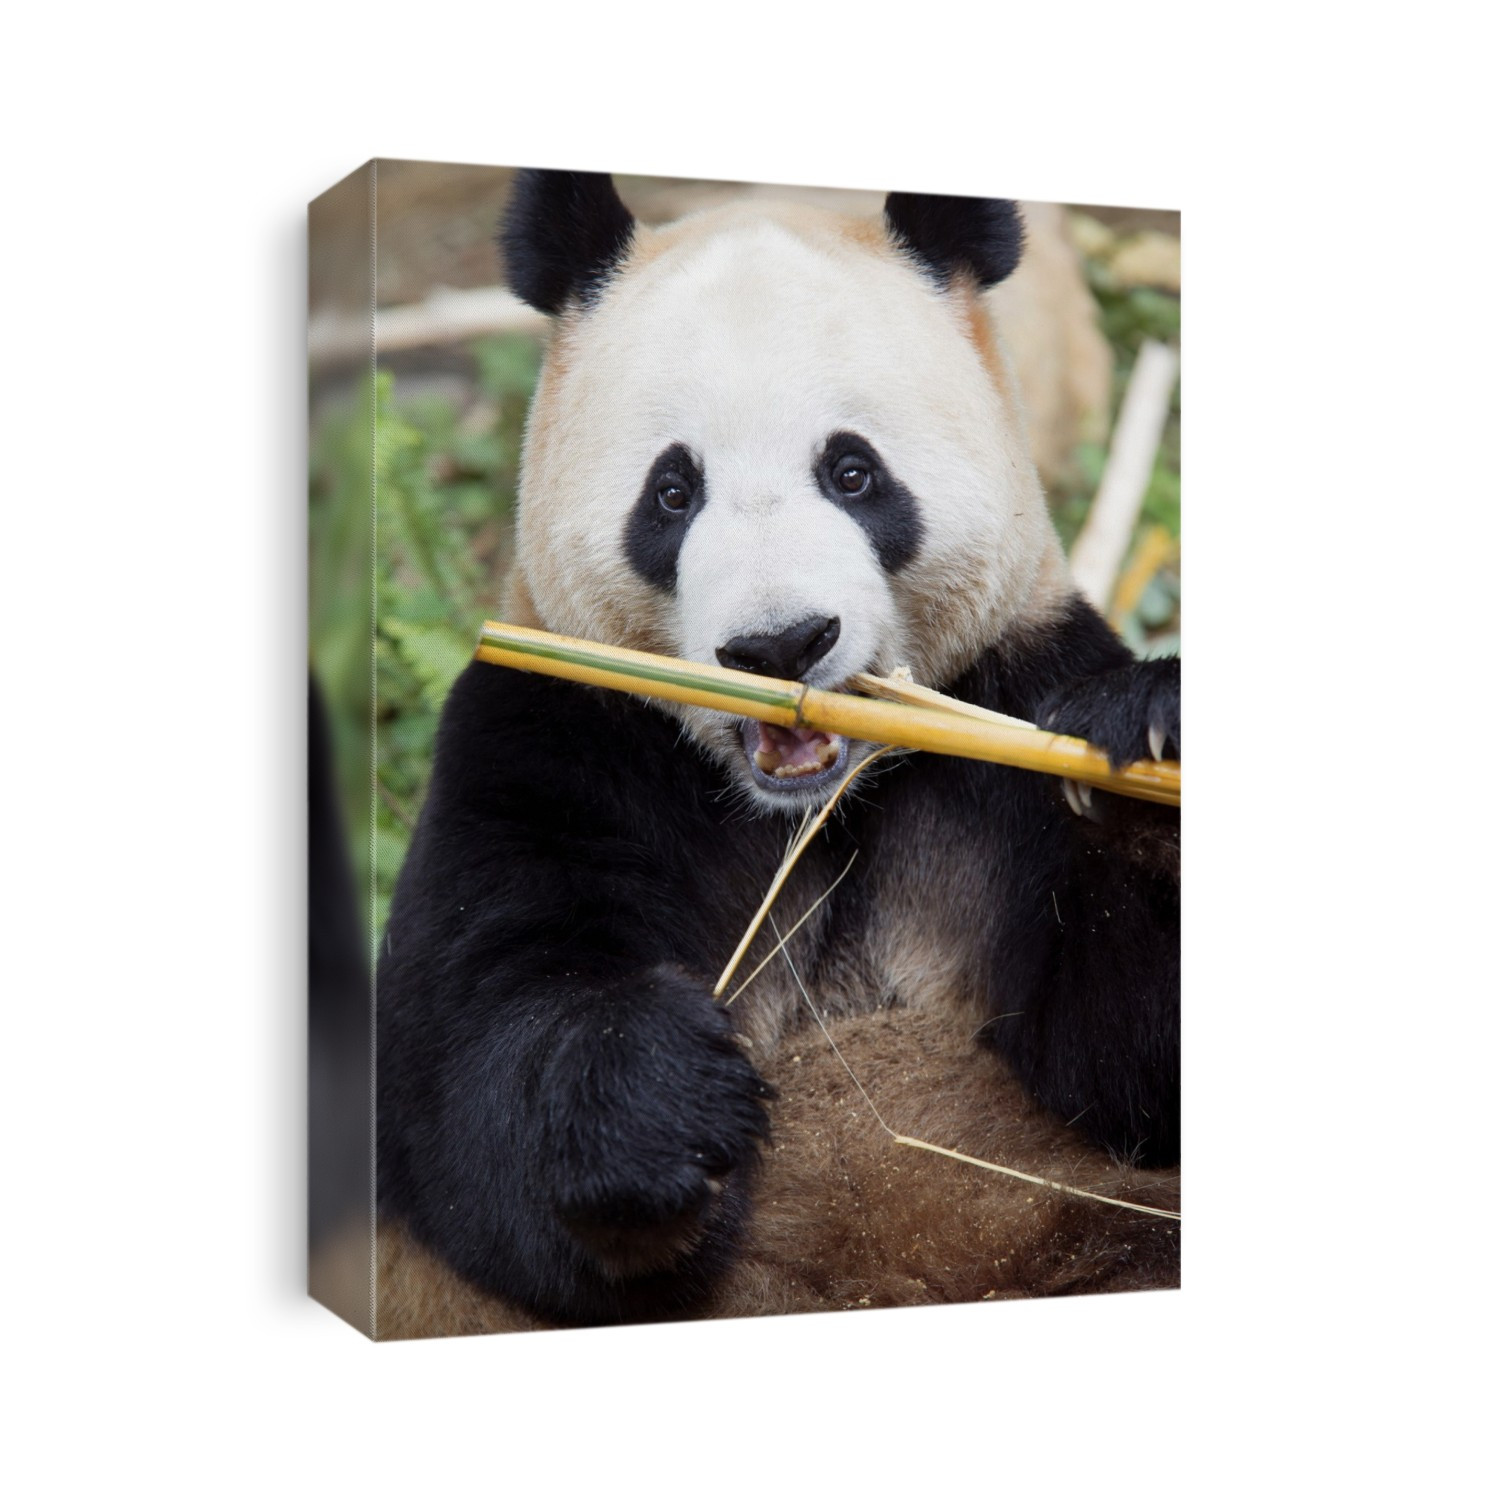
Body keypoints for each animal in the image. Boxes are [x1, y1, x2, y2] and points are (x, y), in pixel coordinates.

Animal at [375, 170, 1181, 1332]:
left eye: (852, 472)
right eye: (672, 492)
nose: (780, 644)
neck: (816, 810)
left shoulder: (1009, 703)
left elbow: (1126, 1063)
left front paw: (1144, 744)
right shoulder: (553, 736)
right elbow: (468, 1075)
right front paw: (658, 1103)